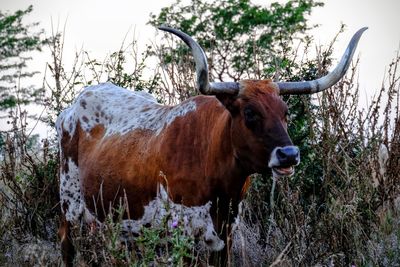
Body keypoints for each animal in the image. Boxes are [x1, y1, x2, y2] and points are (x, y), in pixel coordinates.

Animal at [55, 26, 366, 266]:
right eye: (250, 113)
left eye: (285, 112)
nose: (289, 154)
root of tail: (72, 108)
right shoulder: (181, 236)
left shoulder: (224, 237)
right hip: (70, 208)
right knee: (67, 247)